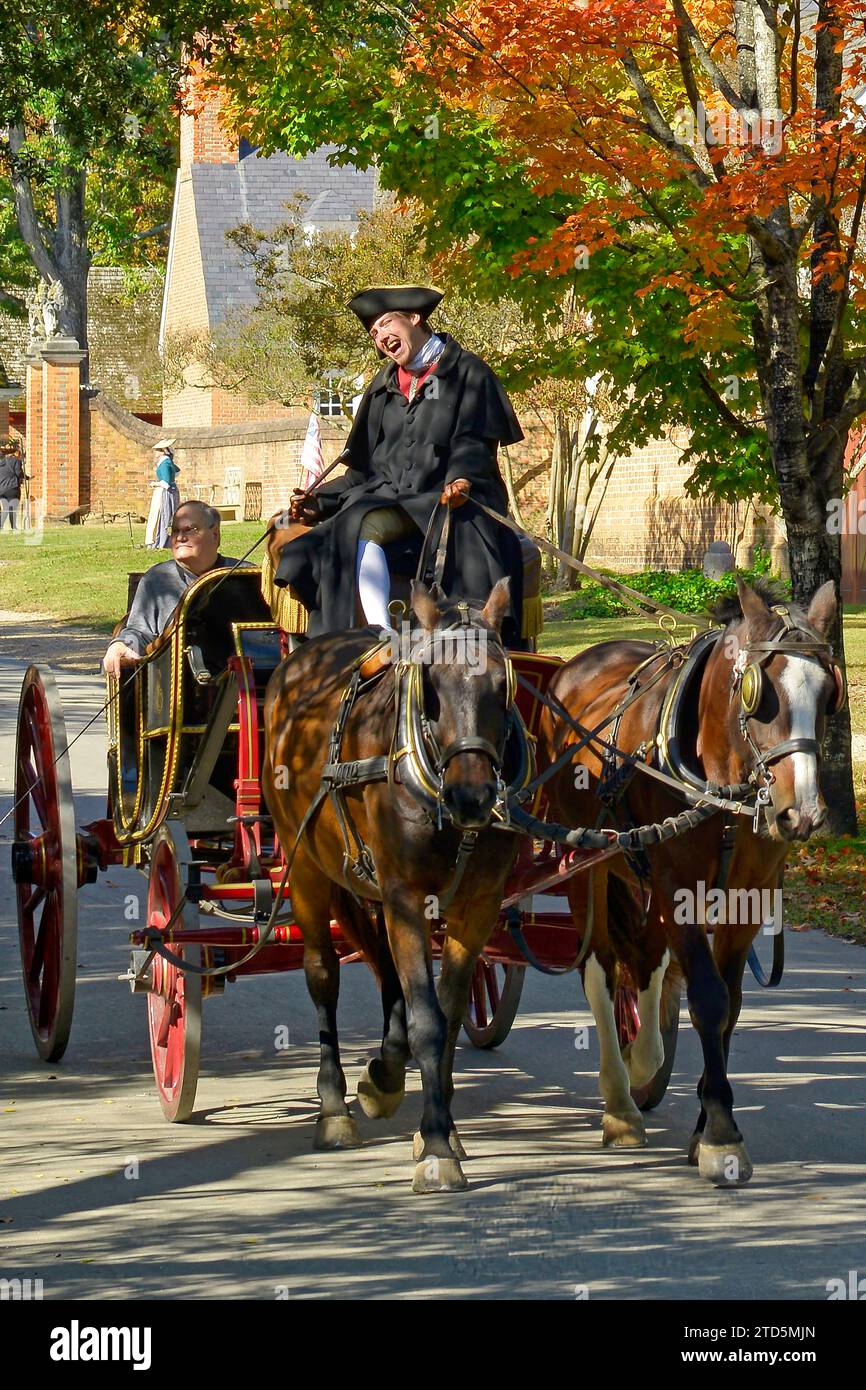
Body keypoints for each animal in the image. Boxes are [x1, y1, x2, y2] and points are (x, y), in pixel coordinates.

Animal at [262, 578, 527, 1192]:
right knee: (324, 974)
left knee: (384, 969)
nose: (473, 797)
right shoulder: (405, 896)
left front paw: (437, 1122)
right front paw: (437, 1146)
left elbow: (447, 1014)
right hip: (304, 864)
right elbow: (428, 1020)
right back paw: (333, 1108)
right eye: (432, 687)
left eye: (503, 686)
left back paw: (384, 1070)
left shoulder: (477, 906)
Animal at [536, 576, 844, 1185]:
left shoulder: (748, 894)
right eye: (759, 693)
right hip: (589, 863)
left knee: (646, 960)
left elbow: (730, 1003)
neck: (722, 789)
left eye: (829, 694)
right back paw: (620, 1103)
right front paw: (722, 1133)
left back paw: (644, 1060)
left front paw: (704, 1124)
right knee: (601, 969)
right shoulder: (676, 884)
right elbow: (707, 996)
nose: (801, 814)